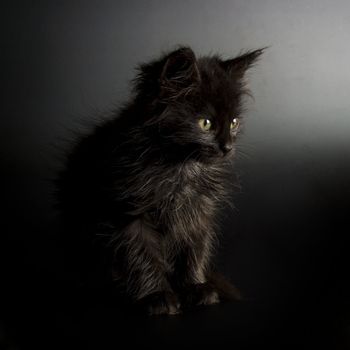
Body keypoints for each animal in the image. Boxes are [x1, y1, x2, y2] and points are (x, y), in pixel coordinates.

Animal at [56, 45, 264, 316]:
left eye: (234, 123)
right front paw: (157, 296)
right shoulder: (129, 215)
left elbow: (194, 251)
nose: (227, 147)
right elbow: (141, 257)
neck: (180, 167)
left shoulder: (198, 213)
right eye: (205, 123)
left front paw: (195, 288)